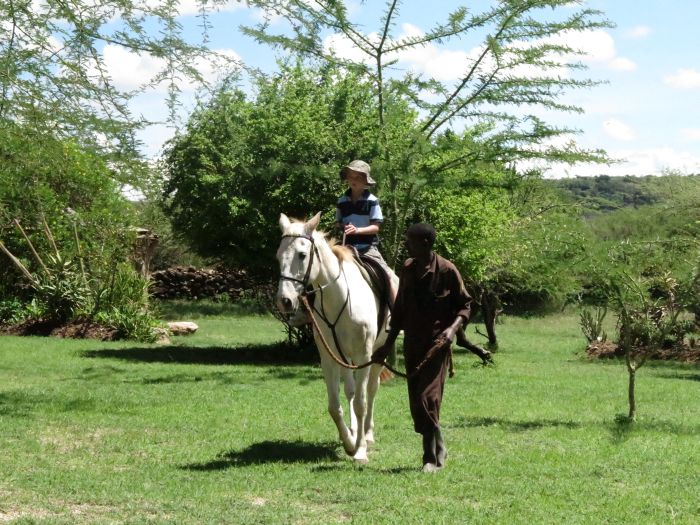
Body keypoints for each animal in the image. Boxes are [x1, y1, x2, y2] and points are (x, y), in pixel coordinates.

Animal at [278, 211, 400, 460]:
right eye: (278, 256)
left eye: (302, 255)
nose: (284, 301)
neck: (340, 298)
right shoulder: (329, 357)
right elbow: (335, 406)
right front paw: (350, 442)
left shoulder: (364, 357)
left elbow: (362, 403)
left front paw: (360, 450)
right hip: (346, 357)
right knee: (351, 391)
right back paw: (355, 431)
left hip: (377, 354)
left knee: (370, 391)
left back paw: (368, 434)